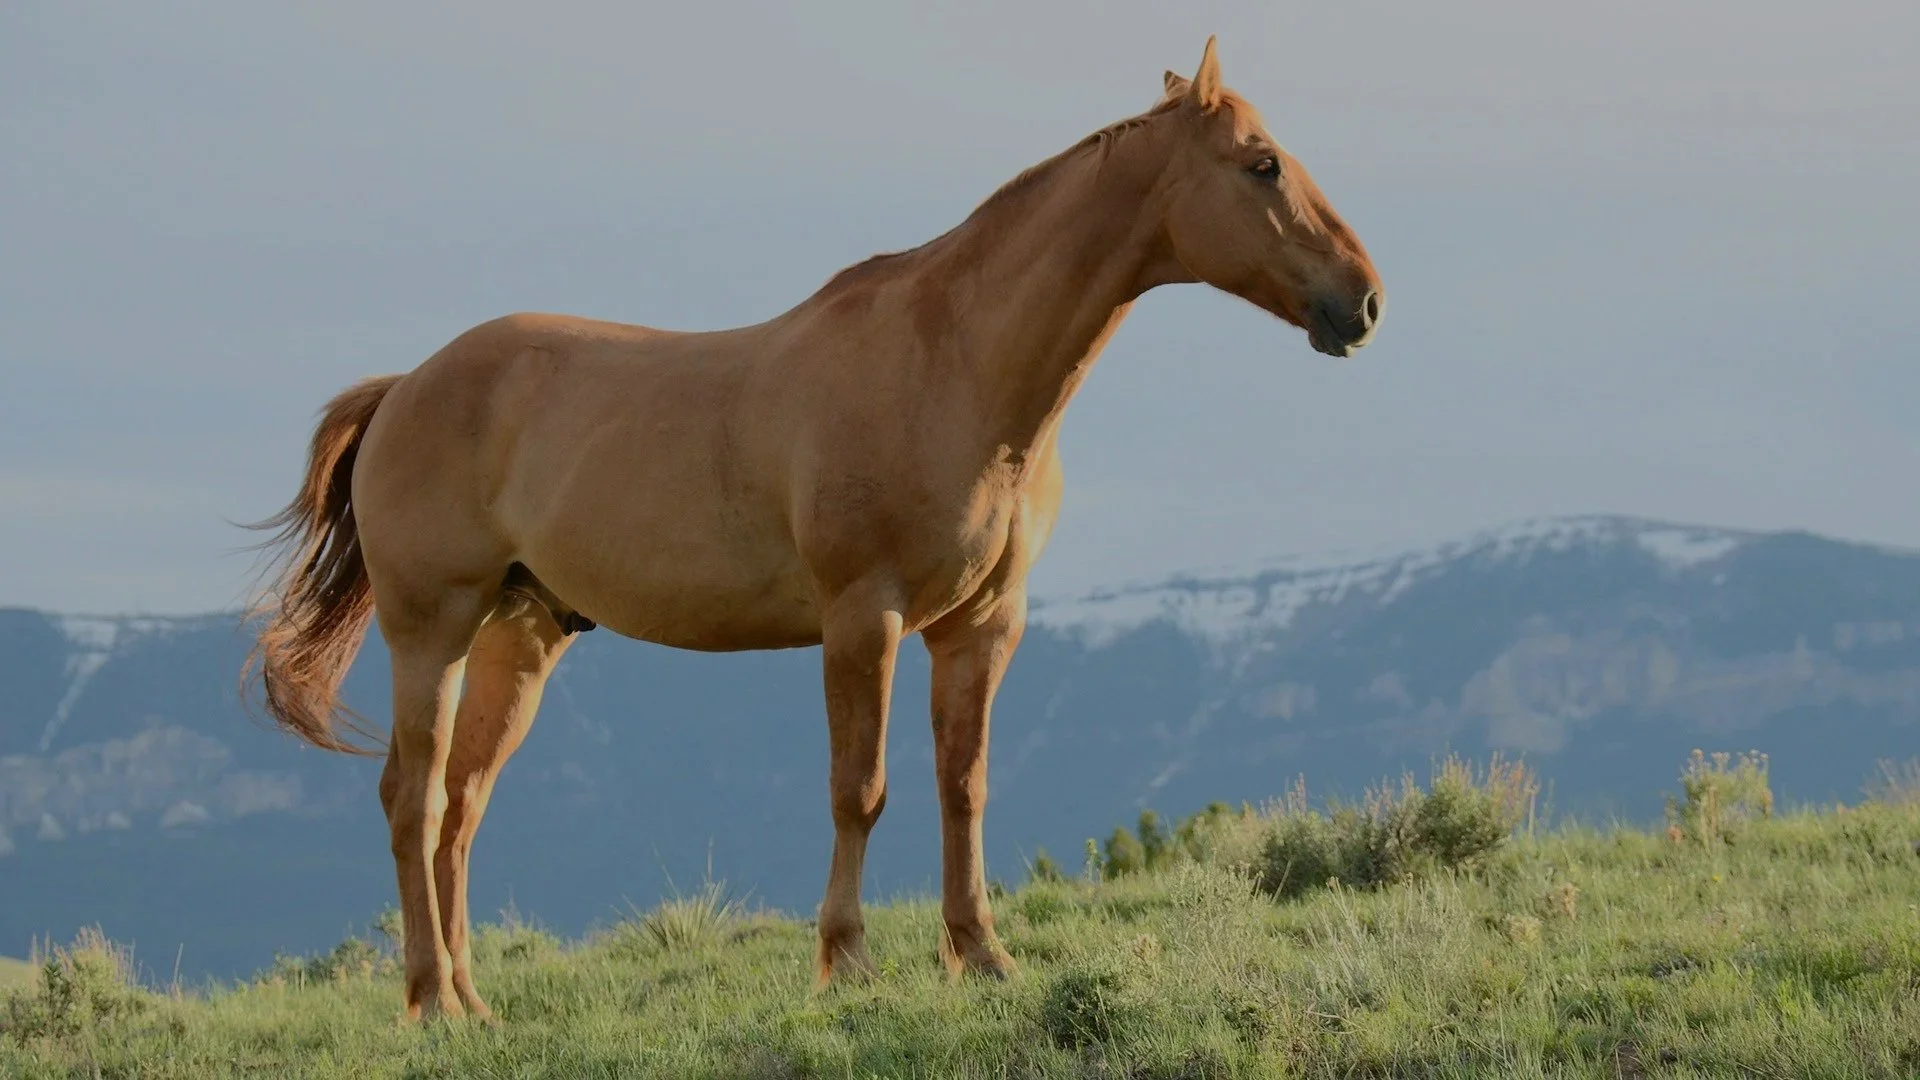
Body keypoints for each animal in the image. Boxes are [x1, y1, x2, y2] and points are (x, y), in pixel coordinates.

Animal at [245, 36, 1383, 1021]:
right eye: (1262, 163)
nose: (1364, 302)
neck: (954, 366)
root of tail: (406, 388)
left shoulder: (983, 626)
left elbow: (963, 785)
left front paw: (983, 955)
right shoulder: (862, 619)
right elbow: (860, 790)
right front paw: (848, 963)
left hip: (518, 638)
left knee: (461, 807)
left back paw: (473, 1002)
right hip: (431, 629)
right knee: (414, 799)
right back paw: (433, 1001)